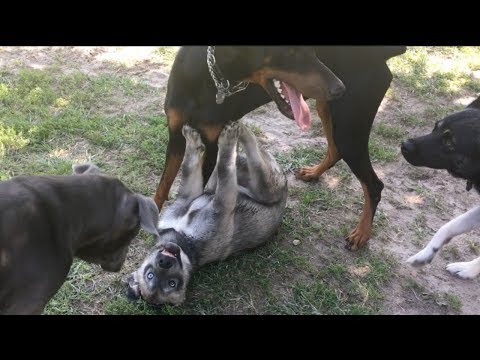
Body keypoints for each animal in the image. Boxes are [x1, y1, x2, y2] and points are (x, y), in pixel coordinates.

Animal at [125, 121, 286, 306]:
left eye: (149, 274)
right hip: (268, 186)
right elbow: (223, 169)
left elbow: (188, 167)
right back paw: (236, 135)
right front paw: (223, 140)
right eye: (172, 283)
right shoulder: (223, 204)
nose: (165, 261)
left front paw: (192, 139)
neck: (185, 239)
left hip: (229, 181)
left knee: (229, 166)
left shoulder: (188, 195)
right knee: (250, 161)